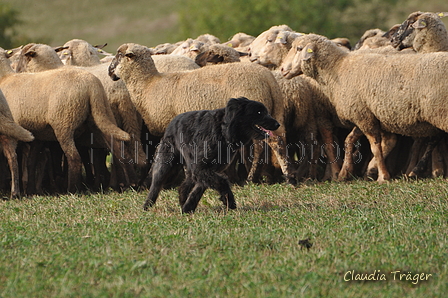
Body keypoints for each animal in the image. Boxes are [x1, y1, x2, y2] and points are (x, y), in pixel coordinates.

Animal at [0, 46, 130, 192]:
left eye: (23, 56)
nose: (18, 69)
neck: (5, 77)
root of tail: (92, 86)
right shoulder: (38, 134)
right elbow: (31, 161)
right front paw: (31, 190)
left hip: (64, 122)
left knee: (74, 158)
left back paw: (72, 189)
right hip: (100, 117)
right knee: (118, 150)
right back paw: (127, 184)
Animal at [144, 96, 280, 213]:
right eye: (259, 112)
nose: (277, 124)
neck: (223, 131)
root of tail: (172, 122)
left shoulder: (207, 169)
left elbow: (199, 189)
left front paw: (188, 208)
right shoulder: (201, 168)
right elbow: (222, 182)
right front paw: (230, 202)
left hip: (189, 168)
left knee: (184, 186)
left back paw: (182, 201)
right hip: (165, 164)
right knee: (156, 186)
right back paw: (147, 206)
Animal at [282, 32, 448, 182]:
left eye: (299, 48)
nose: (282, 69)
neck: (337, 68)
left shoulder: (364, 117)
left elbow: (375, 147)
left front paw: (383, 176)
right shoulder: (364, 113)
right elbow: (350, 140)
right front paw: (346, 173)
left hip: (440, 113)